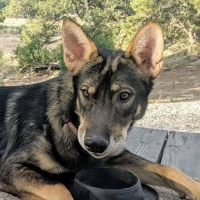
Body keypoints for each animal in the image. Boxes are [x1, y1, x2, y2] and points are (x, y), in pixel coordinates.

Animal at [0, 17, 200, 200]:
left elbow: (168, 169)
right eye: (85, 93)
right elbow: (61, 189)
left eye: (124, 95)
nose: (95, 145)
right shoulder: (11, 167)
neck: (67, 124)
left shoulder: (114, 157)